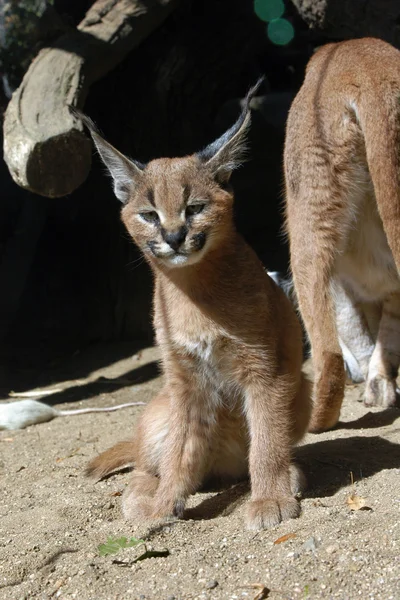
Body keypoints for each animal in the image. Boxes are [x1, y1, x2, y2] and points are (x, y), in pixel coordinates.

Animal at [72, 85, 312, 528]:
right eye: (149, 215)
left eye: (196, 208)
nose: (173, 236)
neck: (193, 290)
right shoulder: (183, 380)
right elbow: (179, 450)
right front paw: (163, 504)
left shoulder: (265, 370)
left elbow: (267, 439)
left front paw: (269, 497)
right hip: (163, 405)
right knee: (149, 461)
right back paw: (145, 494)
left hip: (301, 387)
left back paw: (285, 475)